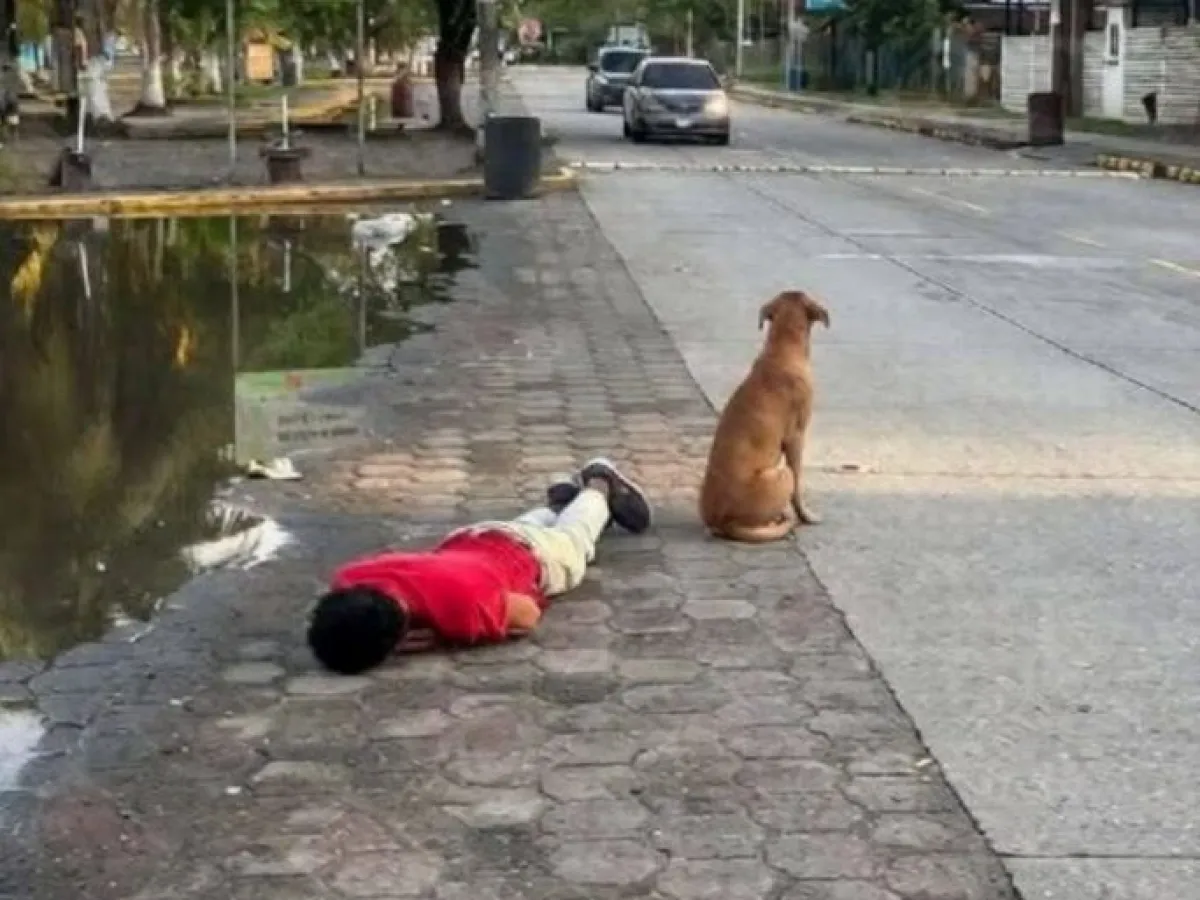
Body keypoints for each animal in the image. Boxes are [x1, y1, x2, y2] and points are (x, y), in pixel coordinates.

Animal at [699, 290, 830, 543]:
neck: (782, 349)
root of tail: (723, 521)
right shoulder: (796, 437)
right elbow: (798, 486)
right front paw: (806, 516)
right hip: (781, 474)